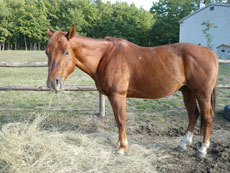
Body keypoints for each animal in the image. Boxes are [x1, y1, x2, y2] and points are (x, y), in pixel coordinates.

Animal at [45, 25, 218, 159]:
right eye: (47, 52)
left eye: (67, 52)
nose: (53, 83)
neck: (105, 56)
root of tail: (210, 53)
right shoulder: (112, 97)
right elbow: (117, 120)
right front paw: (119, 143)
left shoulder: (118, 96)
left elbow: (121, 120)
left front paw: (122, 148)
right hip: (187, 92)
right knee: (193, 115)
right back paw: (183, 145)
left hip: (202, 94)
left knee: (207, 117)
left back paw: (202, 149)